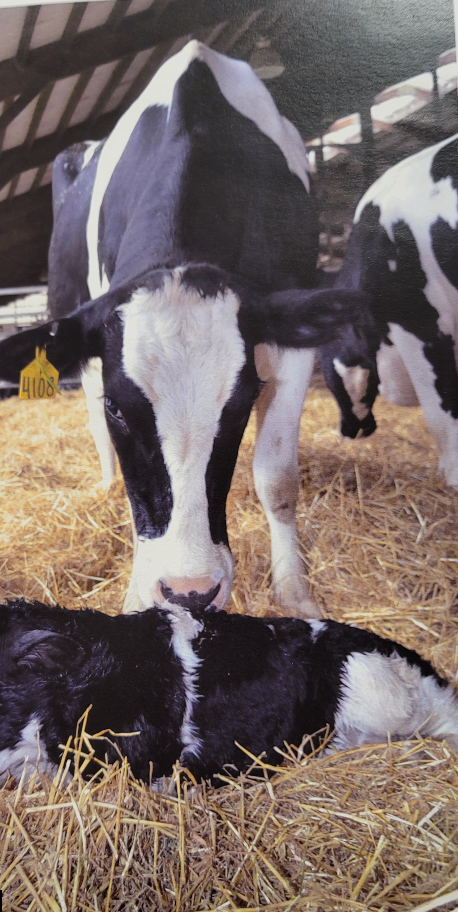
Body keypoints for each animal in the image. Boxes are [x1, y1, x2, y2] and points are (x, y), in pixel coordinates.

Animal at [0, 41, 365, 619]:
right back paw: (105, 484)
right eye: (119, 408)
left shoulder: (288, 337)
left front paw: (295, 594)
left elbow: (277, 477)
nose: (189, 592)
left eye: (242, 402)